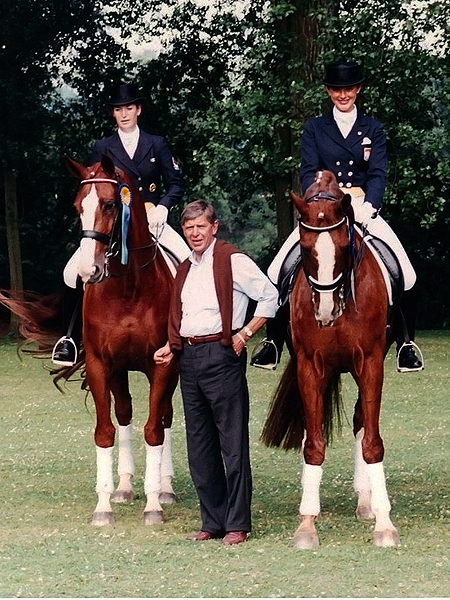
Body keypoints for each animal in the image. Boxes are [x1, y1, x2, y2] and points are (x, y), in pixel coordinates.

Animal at [1, 154, 179, 527]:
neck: (128, 286)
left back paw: (166, 488)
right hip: (119, 372)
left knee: (166, 418)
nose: (88, 270)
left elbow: (154, 429)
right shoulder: (100, 365)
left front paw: (153, 504)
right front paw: (104, 506)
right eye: (77, 206)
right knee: (124, 413)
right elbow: (105, 431)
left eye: (111, 204)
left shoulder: (162, 365)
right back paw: (124, 486)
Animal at [261, 170, 400, 549]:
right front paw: (307, 525)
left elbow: (372, 442)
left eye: (341, 246)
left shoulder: (371, 363)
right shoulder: (310, 365)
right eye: (306, 249)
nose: (324, 311)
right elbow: (313, 444)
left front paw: (384, 523)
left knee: (360, 422)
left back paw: (366, 501)